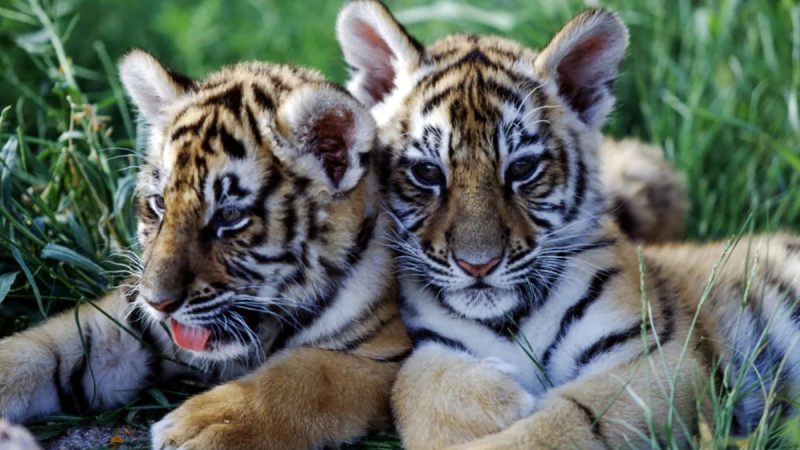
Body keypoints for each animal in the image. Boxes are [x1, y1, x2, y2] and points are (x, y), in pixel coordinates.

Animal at [0, 49, 410, 450]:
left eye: (229, 215)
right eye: (159, 204)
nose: (156, 302)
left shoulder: (393, 355)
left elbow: (308, 374)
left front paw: (203, 425)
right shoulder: (131, 324)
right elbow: (39, 348)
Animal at [336, 2, 800, 449]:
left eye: (522, 168)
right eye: (427, 173)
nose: (478, 266)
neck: (510, 321)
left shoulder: (663, 355)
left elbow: (561, 423)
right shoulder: (429, 343)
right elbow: (412, 390)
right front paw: (494, 400)